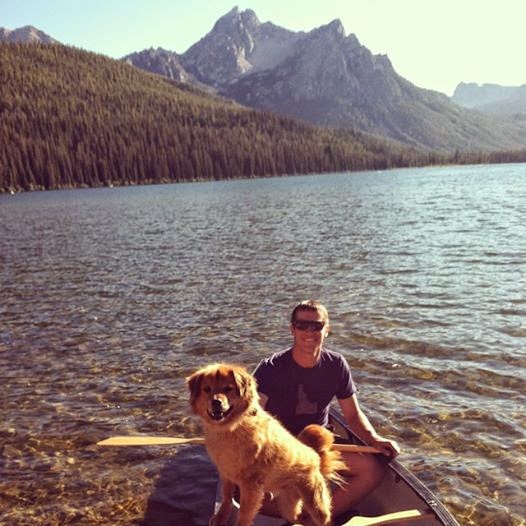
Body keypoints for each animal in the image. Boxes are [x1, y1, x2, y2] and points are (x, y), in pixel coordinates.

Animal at [186, 363, 345, 526]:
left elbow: (244, 514)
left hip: (315, 502)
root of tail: (315, 457)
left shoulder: (251, 485)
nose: (216, 402)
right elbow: (226, 497)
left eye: (228, 389)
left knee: (325, 518)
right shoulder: (226, 473)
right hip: (286, 504)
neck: (230, 428)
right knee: (296, 517)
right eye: (207, 389)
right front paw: (221, 517)